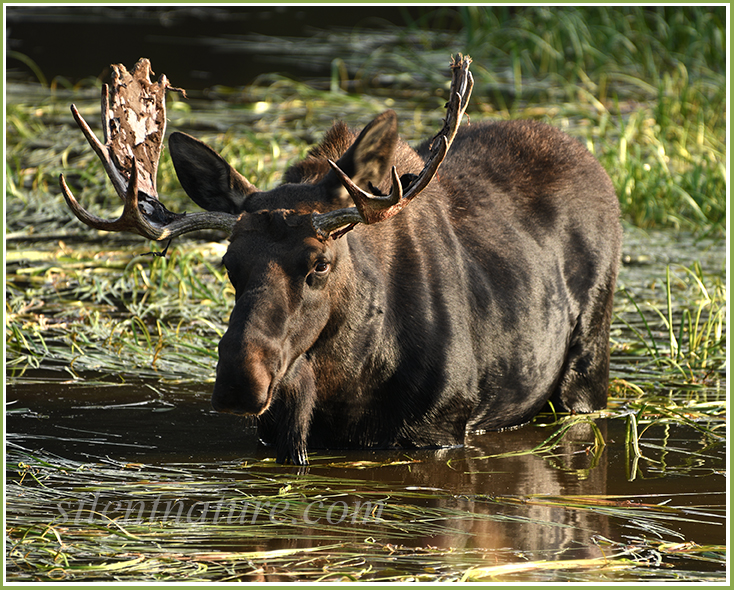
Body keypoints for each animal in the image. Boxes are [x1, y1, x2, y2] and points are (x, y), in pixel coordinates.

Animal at [60, 55, 622, 465]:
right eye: (229, 265)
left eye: (319, 264)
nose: (240, 381)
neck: (349, 375)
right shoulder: (277, 433)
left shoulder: (441, 428)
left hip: (586, 371)